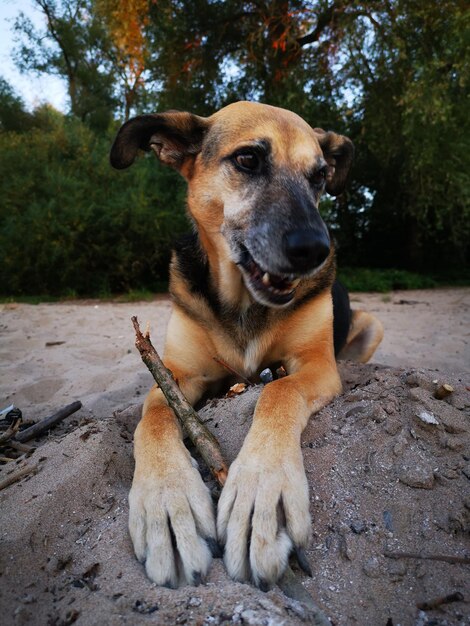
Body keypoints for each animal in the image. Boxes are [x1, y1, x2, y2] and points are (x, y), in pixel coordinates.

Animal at [112, 100, 384, 588]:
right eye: (248, 160)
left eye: (319, 176)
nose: (316, 249)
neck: (242, 302)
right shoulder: (177, 375)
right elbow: (155, 415)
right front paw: (167, 501)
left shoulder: (316, 365)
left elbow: (279, 391)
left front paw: (261, 491)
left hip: (370, 326)